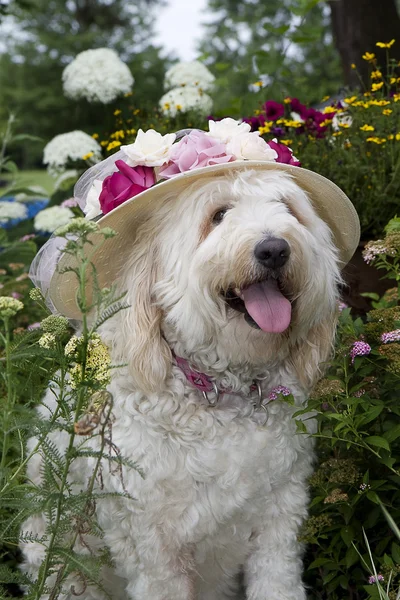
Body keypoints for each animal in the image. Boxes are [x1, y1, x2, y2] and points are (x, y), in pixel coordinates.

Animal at [21, 166, 340, 596]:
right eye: (218, 215)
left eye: (288, 208)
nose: (274, 249)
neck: (223, 391)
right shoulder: (153, 548)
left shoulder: (280, 517)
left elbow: (277, 582)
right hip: (60, 567)